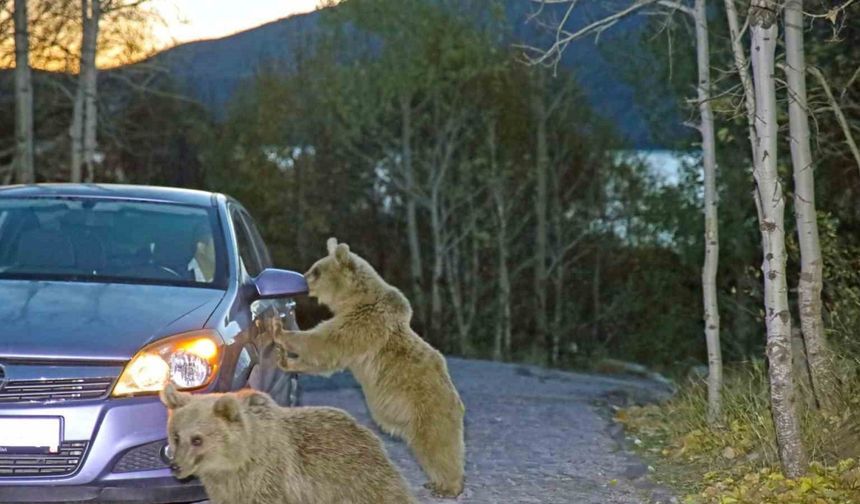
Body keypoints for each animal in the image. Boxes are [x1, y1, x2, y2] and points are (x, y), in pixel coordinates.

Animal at [163, 384, 418, 502]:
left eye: (197, 439)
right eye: (176, 436)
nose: (175, 465)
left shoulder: (269, 478)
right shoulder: (225, 488)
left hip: (357, 481)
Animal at [272, 238, 466, 498]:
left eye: (316, 270)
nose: (302, 280)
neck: (352, 299)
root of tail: (456, 401)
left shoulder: (362, 324)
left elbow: (324, 342)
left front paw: (279, 331)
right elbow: (325, 360)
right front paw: (287, 360)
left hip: (429, 408)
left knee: (438, 446)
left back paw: (448, 486)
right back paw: (435, 483)